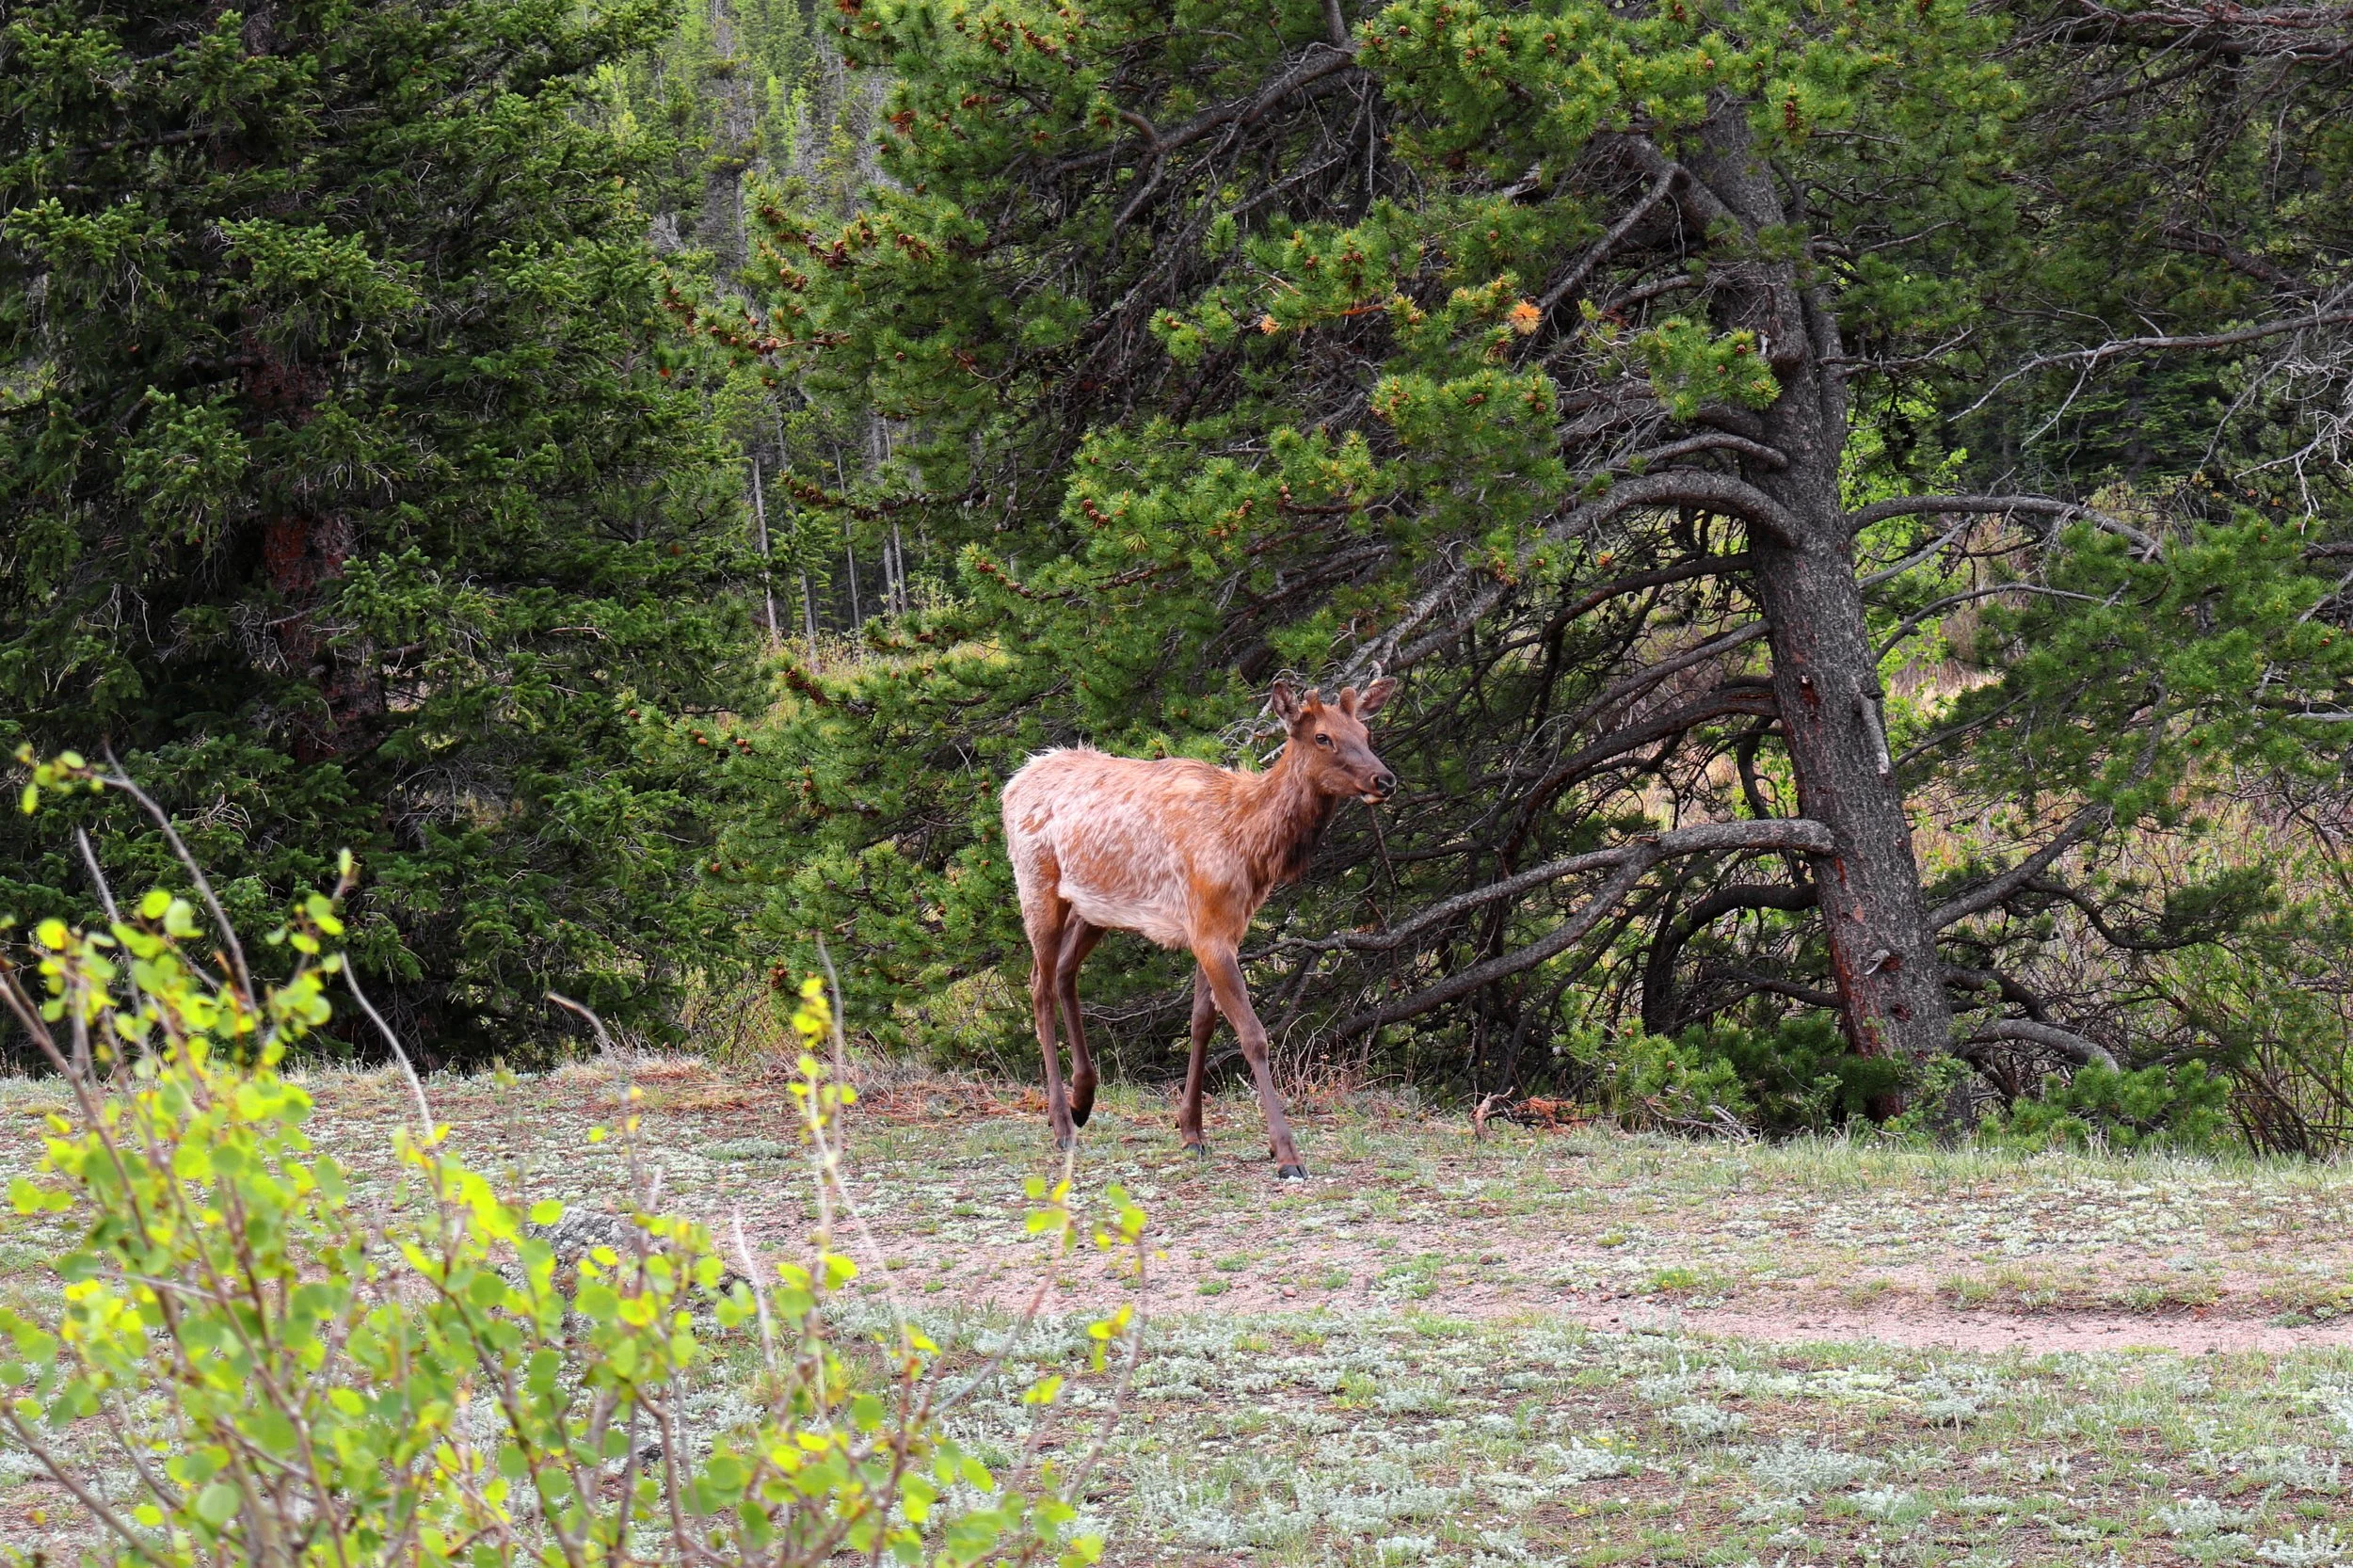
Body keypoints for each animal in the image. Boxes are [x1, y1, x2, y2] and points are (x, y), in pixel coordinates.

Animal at [1000, 677, 1398, 1178]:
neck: (1250, 845)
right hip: (1037, 885)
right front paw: (1286, 1154)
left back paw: (1083, 1099)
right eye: (1322, 737)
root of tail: (1013, 782)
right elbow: (1253, 1035)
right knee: (1039, 985)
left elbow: (1202, 1023)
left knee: (1064, 972)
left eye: (1366, 734)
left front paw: (1191, 1131)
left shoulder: (1223, 927)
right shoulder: (1208, 929)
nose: (1385, 779)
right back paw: (1061, 1123)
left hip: (1093, 908)